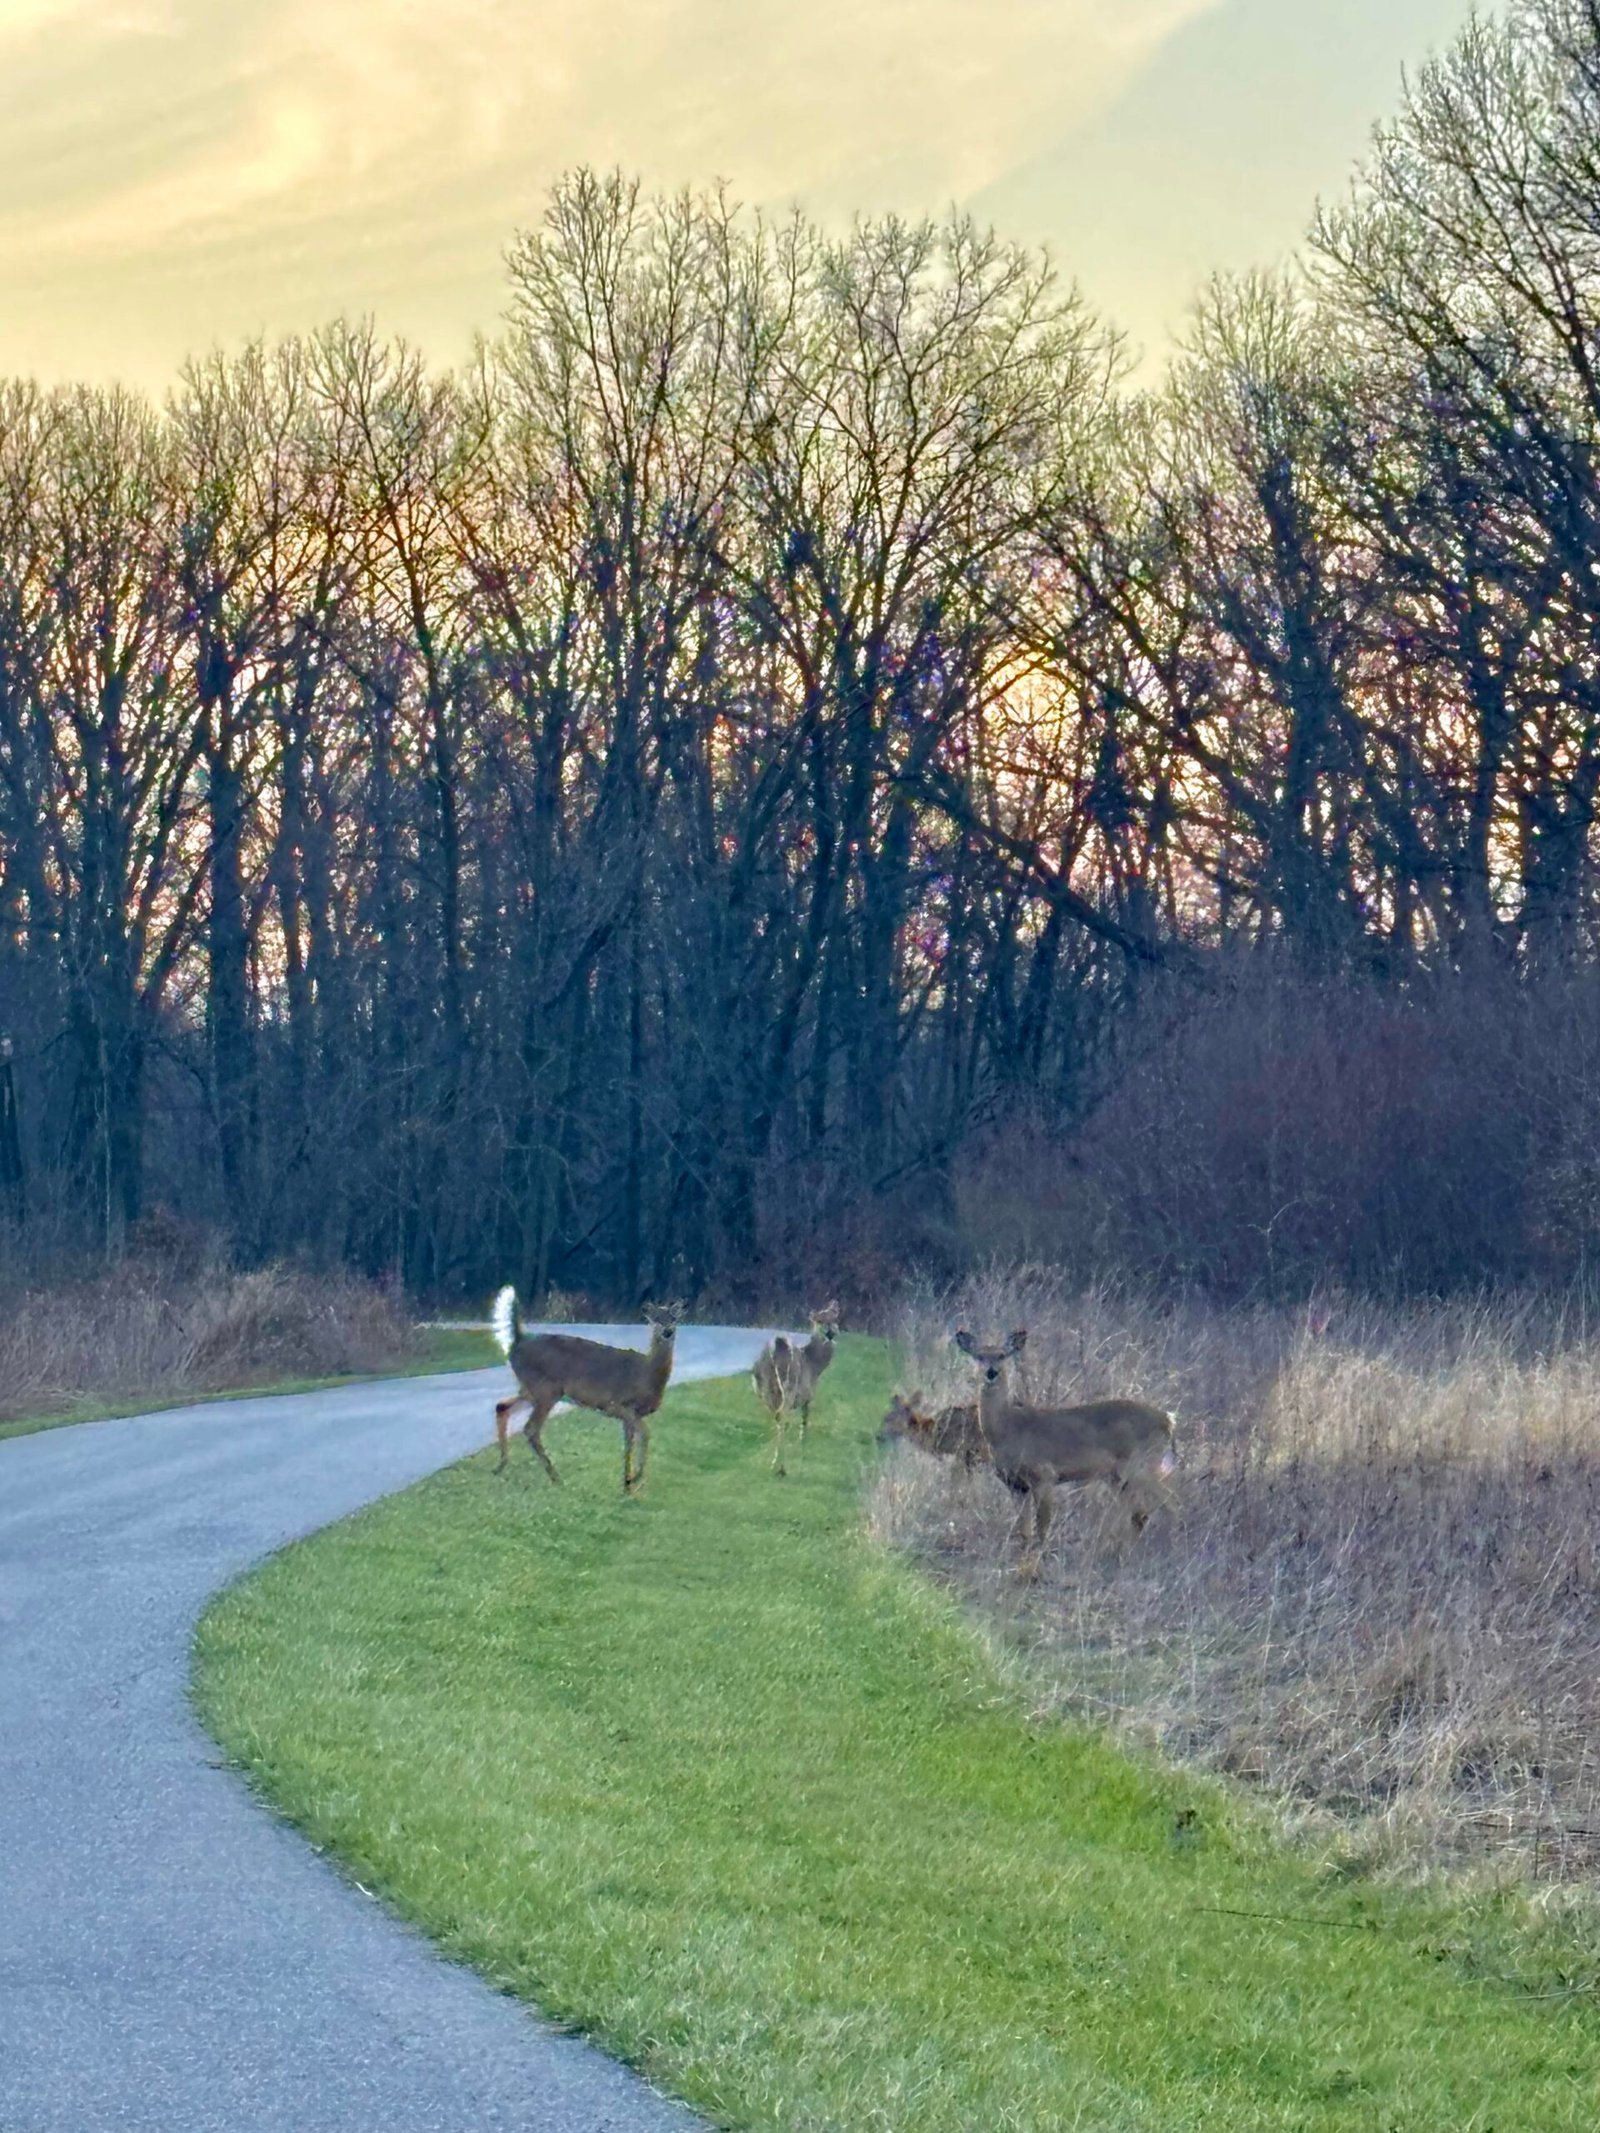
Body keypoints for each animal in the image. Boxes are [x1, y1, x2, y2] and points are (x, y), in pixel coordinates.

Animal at [490, 1288, 683, 1493]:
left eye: (674, 1318)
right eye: (655, 1319)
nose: (668, 1332)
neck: (646, 1374)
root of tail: (517, 1343)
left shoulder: (629, 1415)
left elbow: (628, 1443)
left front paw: (627, 1484)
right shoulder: (616, 1404)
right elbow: (645, 1433)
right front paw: (635, 1478)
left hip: (530, 1390)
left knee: (502, 1406)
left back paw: (501, 1466)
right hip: (546, 1389)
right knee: (530, 1428)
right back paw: (556, 1478)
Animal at [751, 1302, 840, 1475]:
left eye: (834, 1318)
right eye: (819, 1320)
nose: (830, 1334)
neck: (814, 1366)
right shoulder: (807, 1397)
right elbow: (804, 1425)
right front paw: (803, 1453)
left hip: (764, 1391)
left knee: (777, 1419)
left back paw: (774, 1463)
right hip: (788, 1389)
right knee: (782, 1418)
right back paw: (781, 1467)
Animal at [953, 1328, 1176, 1575]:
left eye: (1002, 1355)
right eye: (979, 1356)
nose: (991, 1373)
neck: (1007, 1429)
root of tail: (1167, 1420)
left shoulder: (1045, 1475)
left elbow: (1042, 1528)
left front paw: (1037, 1564)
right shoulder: (1016, 1485)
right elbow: (1023, 1531)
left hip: (1142, 1466)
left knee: (1168, 1503)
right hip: (1121, 1477)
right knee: (1139, 1515)